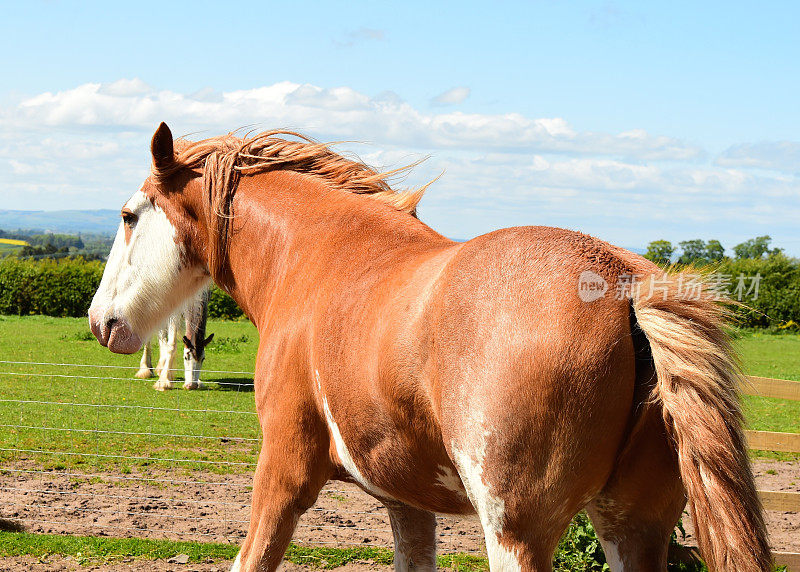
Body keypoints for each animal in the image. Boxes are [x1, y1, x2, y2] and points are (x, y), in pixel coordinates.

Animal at [89, 124, 776, 572]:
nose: (100, 321)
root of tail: (623, 282)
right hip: (633, 526)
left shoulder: (284, 472)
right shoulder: (406, 504)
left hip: (516, 533)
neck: (318, 256)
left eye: (127, 216)